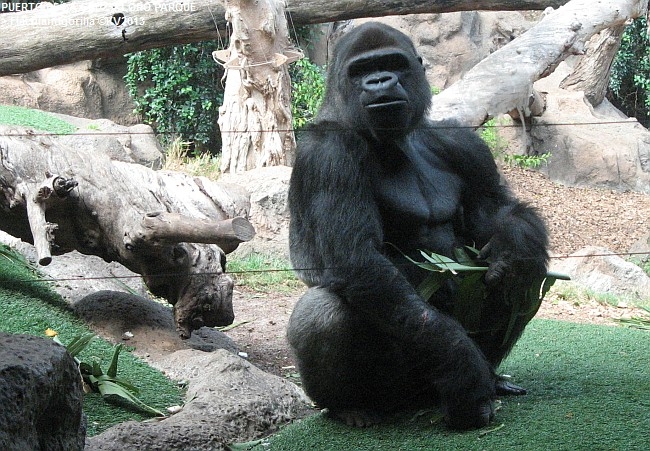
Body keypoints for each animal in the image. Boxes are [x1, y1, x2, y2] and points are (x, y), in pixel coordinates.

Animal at [286, 23, 544, 432]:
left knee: (522, 278)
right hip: (390, 391)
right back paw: (349, 406)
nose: (379, 81)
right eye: (362, 70)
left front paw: (515, 244)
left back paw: (494, 373)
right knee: (322, 310)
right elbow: (357, 261)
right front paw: (461, 366)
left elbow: (496, 215)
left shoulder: (463, 142)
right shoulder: (327, 154)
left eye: (393, 63)